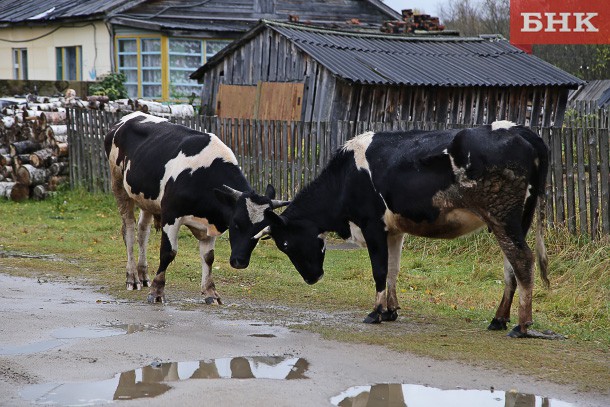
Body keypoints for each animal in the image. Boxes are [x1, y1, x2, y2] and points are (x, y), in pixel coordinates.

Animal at [103, 113, 286, 304]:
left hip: (146, 199)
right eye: (236, 224)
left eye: (262, 232)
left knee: (142, 232)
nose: (240, 262)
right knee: (130, 231)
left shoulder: (210, 224)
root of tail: (128, 117)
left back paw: (143, 275)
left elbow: (209, 257)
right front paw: (157, 291)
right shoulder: (171, 216)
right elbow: (168, 253)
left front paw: (211, 292)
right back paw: (132, 277)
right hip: (119, 186)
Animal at [254, 122, 548, 340]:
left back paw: (521, 325)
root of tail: (518, 130)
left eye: (285, 245)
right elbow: (393, 269)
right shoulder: (394, 231)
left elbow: (379, 269)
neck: (346, 176)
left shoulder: (372, 225)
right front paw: (390, 310)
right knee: (511, 265)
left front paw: (375, 313)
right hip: (517, 220)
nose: (312, 278)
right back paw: (499, 319)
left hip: (502, 217)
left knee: (523, 260)